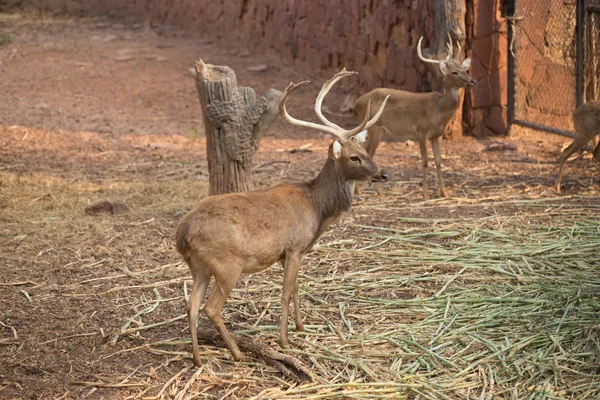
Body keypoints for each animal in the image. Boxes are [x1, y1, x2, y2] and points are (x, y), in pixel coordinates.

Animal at [175, 69, 390, 366]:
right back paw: (238, 353)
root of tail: (182, 234)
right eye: (354, 158)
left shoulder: (287, 254)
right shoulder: (295, 246)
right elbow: (287, 292)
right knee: (211, 308)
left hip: (199, 266)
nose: (383, 174)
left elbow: (298, 287)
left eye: (366, 152)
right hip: (227, 264)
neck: (317, 207)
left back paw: (198, 359)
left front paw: (301, 327)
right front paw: (285, 341)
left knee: (191, 306)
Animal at [354, 35, 476, 199]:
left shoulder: (437, 135)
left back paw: (363, 191)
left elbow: (438, 161)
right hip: (375, 127)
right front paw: (425, 195)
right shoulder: (421, 131)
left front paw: (444, 193)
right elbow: (425, 161)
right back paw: (374, 192)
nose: (473, 80)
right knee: (368, 153)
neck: (439, 109)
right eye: (454, 72)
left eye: (464, 69)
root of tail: (356, 104)